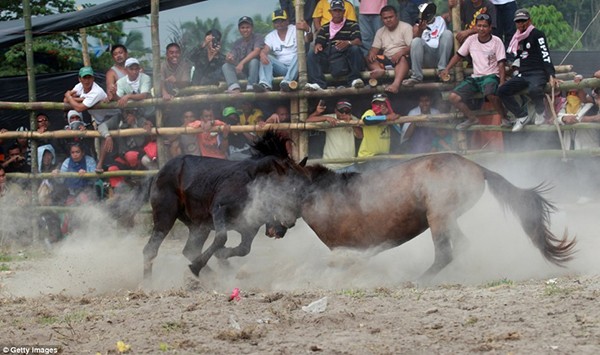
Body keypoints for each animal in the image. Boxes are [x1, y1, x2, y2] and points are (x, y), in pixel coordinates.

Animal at [141, 131, 304, 280]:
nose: (286, 226)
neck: (252, 182)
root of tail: (159, 173)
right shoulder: (219, 209)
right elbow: (221, 238)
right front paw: (202, 264)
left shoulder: (248, 227)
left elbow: (244, 249)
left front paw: (222, 258)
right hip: (165, 215)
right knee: (150, 249)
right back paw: (149, 282)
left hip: (199, 226)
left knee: (190, 250)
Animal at [296, 154, 576, 282]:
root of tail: (477, 168)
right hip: (447, 217)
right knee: (461, 245)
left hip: (439, 216)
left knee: (445, 252)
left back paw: (419, 280)